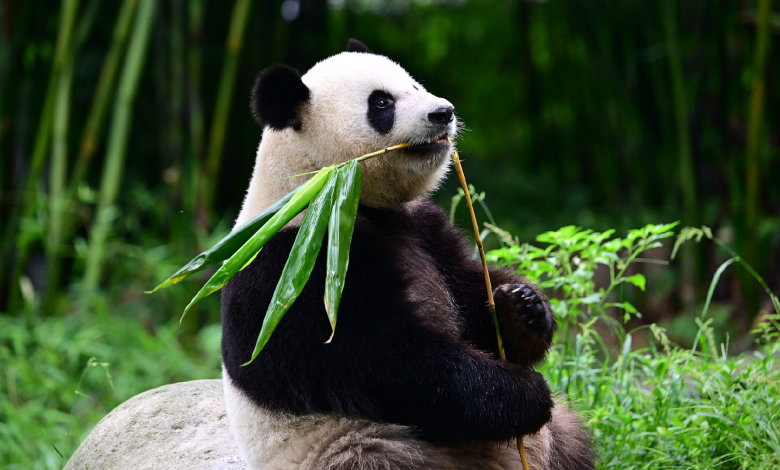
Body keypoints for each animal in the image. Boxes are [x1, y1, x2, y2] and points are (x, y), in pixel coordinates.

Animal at [219, 40, 592, 470]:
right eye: (381, 103)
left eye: (415, 85)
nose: (443, 112)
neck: (325, 186)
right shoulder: (296, 270)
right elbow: (390, 363)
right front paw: (524, 393)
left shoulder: (422, 227)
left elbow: (465, 292)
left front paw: (523, 309)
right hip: (358, 446)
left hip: (547, 442)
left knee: (571, 440)